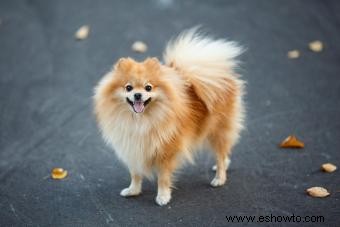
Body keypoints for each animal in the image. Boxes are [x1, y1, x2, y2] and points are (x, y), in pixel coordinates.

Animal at [94, 27, 246, 206]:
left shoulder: (166, 152)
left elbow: (163, 178)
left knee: (220, 155)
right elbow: (135, 174)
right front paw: (133, 191)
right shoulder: (134, 149)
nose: (138, 95)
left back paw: (219, 178)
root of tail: (223, 76)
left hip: (217, 131)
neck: (140, 121)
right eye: (128, 87)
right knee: (224, 153)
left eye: (148, 87)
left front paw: (163, 197)